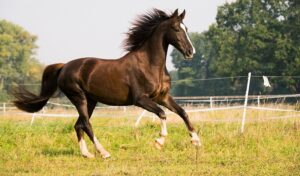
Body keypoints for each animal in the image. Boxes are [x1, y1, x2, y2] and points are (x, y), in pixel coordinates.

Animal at [13, 8, 202, 159]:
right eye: (176, 28)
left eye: (186, 28)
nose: (191, 52)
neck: (150, 64)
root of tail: (64, 66)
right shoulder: (140, 100)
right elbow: (162, 114)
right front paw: (159, 142)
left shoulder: (162, 97)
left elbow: (183, 112)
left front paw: (196, 141)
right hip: (79, 98)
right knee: (86, 125)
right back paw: (103, 152)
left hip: (90, 101)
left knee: (78, 125)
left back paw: (87, 154)